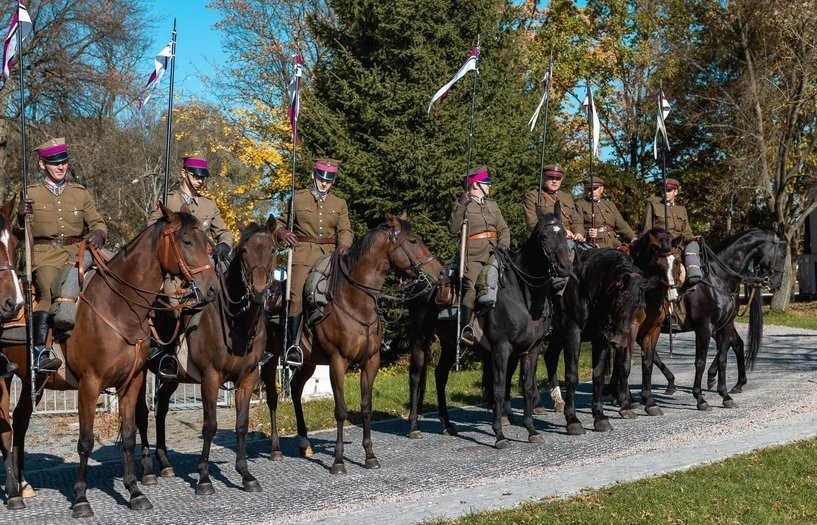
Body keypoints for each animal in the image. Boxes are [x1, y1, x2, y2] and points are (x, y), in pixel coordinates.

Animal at [0, 206, 218, 516]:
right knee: (6, 429)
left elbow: (128, 435)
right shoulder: (89, 385)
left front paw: (135, 491)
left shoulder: (133, 381)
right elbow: (85, 442)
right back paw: (11, 492)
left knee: (19, 422)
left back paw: (22, 485)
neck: (119, 308)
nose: (211, 288)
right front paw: (81, 498)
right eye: (187, 242)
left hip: (36, 380)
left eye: (208, 245)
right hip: (5, 378)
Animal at [136, 215, 280, 494]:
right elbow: (210, 425)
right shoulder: (211, 378)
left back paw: (165, 463)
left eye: (273, 250)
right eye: (244, 251)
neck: (237, 324)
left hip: (171, 378)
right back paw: (148, 471)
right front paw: (204, 478)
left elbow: (242, 425)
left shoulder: (248, 378)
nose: (258, 289)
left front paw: (245, 474)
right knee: (141, 415)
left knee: (161, 410)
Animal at [262, 211, 440, 472]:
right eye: (414, 241)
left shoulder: (371, 361)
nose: (441, 273)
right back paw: (275, 449)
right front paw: (338, 461)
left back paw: (304, 442)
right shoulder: (338, 362)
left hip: (309, 363)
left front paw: (370, 455)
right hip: (270, 360)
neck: (356, 302)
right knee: (273, 398)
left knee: (295, 391)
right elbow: (341, 410)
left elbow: (366, 407)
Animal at [644, 227, 784, 412]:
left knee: (736, 344)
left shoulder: (724, 325)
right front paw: (700, 398)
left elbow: (722, 357)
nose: (776, 284)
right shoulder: (704, 327)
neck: (719, 278)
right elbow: (699, 361)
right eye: (782, 255)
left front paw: (724, 395)